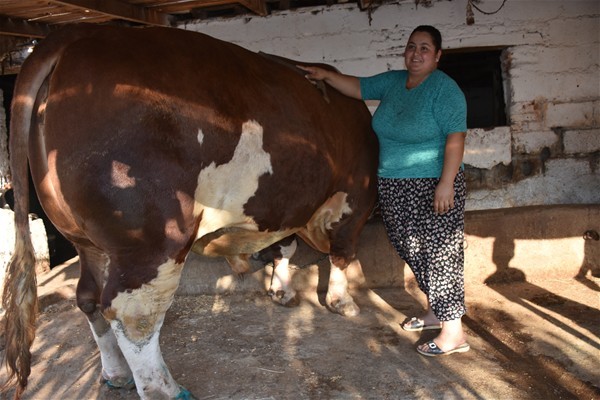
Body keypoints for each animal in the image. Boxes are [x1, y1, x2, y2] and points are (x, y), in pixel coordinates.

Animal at [1, 25, 376, 400]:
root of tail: (72, 36)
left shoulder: (283, 208)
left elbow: (284, 247)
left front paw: (282, 290)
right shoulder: (355, 198)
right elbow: (342, 253)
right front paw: (343, 302)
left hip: (86, 240)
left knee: (89, 298)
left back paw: (116, 373)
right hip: (152, 242)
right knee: (134, 314)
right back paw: (166, 389)